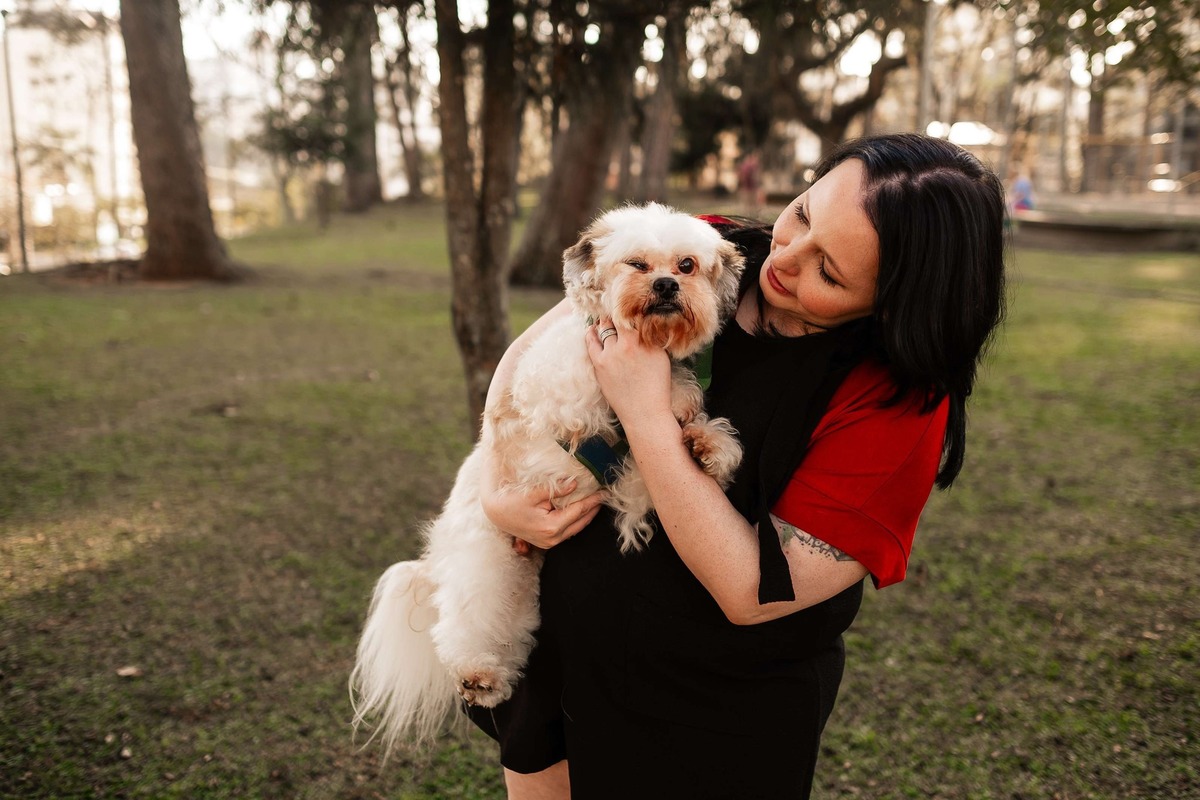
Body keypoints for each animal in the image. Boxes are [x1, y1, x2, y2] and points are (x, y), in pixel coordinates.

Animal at [350, 203, 745, 755]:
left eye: (686, 265)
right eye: (638, 264)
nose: (666, 284)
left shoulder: (632, 476)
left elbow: (664, 453)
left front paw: (709, 445)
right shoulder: (564, 384)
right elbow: (616, 391)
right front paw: (675, 400)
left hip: (521, 590)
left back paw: (492, 681)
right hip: (486, 564)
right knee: (459, 625)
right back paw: (475, 674)